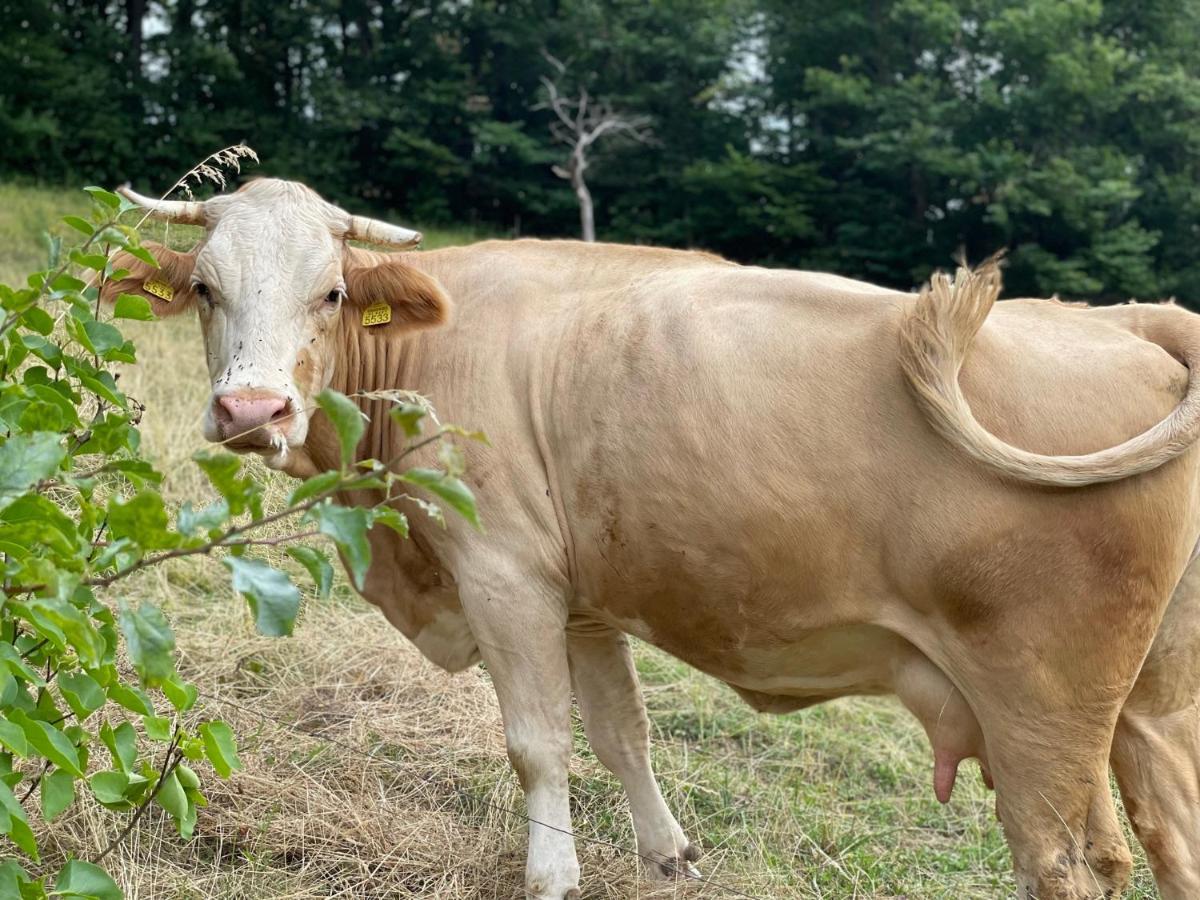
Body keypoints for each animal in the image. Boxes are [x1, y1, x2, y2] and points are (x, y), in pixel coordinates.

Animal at [105, 177, 1200, 900]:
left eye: (329, 292)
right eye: (204, 288)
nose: (252, 409)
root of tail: (1127, 319)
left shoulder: (504, 576)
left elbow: (538, 742)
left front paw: (552, 874)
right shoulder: (585, 599)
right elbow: (621, 731)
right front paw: (666, 854)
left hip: (1039, 707)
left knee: (1064, 862)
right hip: (1143, 705)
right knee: (1161, 834)